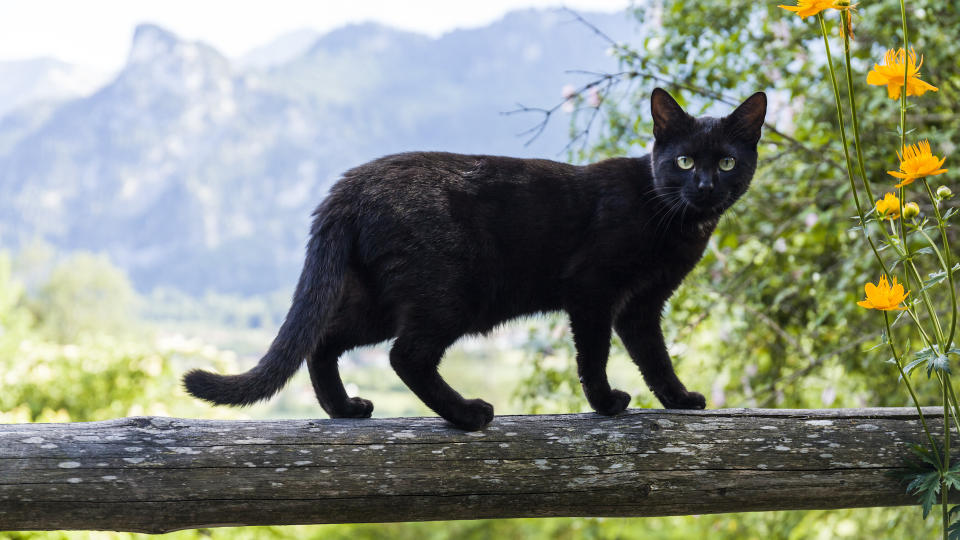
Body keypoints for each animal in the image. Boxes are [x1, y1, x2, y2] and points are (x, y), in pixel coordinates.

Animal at [186, 88, 764, 430]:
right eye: (684, 161)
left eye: (726, 162)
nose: (705, 186)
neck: (674, 218)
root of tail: (350, 185)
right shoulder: (593, 291)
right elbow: (594, 357)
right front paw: (605, 404)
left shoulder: (642, 306)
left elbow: (654, 356)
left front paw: (678, 399)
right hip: (448, 294)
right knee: (405, 356)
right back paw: (467, 414)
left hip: (377, 299)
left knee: (324, 342)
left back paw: (345, 409)